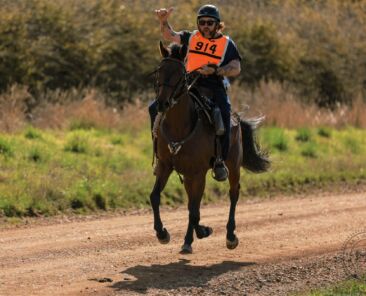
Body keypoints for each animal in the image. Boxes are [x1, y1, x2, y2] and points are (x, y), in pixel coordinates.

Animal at [149, 42, 268, 254]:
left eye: (181, 74)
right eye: (159, 71)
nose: (163, 103)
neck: (180, 127)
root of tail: (237, 118)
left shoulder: (198, 173)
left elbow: (194, 210)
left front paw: (204, 230)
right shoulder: (165, 166)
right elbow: (156, 197)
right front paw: (162, 233)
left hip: (233, 166)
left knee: (233, 194)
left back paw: (230, 237)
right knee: (192, 203)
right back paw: (188, 241)